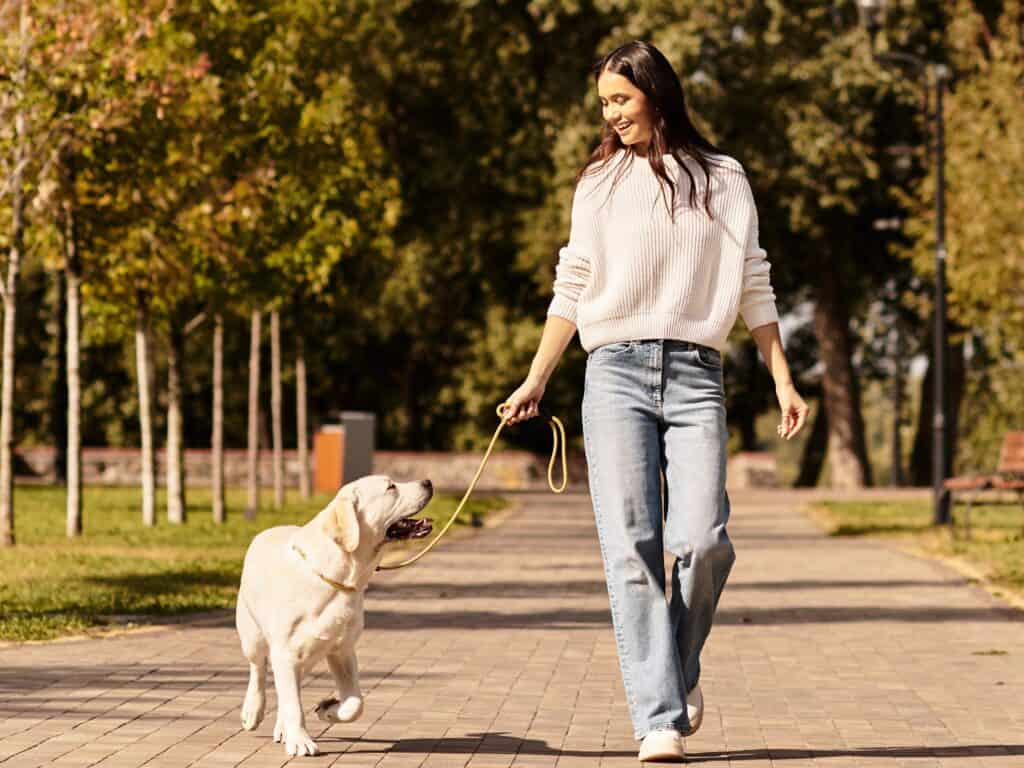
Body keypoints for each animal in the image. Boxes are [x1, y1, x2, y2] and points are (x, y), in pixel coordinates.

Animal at [234, 475, 432, 757]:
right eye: (390, 487)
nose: (427, 482)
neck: (337, 577)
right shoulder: (285, 650)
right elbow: (293, 702)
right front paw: (301, 741)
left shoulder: (342, 650)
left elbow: (356, 703)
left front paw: (328, 709)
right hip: (252, 635)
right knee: (258, 669)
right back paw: (253, 711)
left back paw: (283, 726)